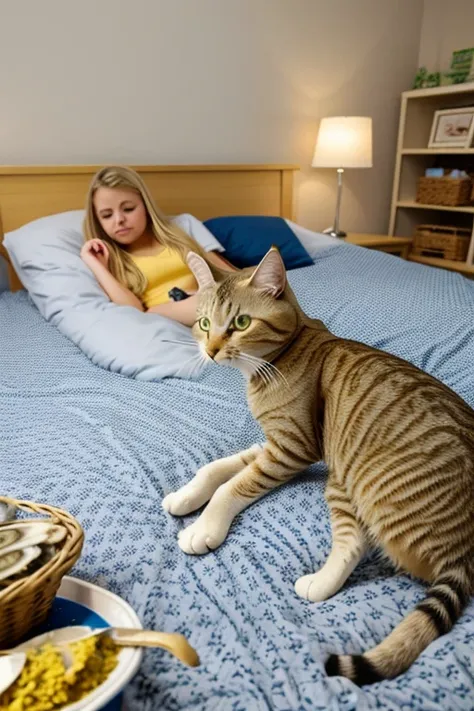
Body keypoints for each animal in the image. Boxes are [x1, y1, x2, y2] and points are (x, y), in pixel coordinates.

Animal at [161, 249, 472, 684]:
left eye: (241, 323)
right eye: (205, 323)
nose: (210, 350)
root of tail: (465, 549)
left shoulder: (291, 448)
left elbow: (231, 486)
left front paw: (204, 527)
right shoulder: (272, 444)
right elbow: (217, 469)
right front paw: (187, 495)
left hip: (357, 476)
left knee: (357, 543)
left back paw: (316, 583)